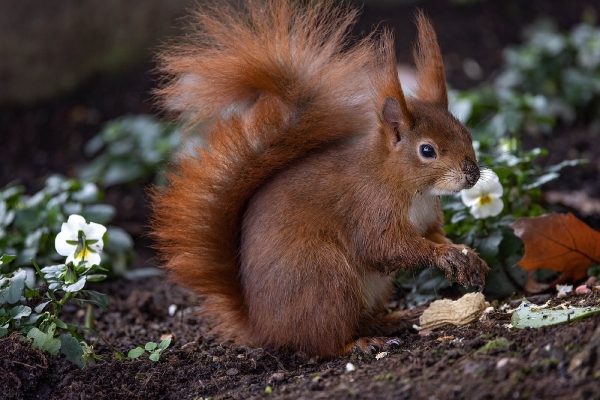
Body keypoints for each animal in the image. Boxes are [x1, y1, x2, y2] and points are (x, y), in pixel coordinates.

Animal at [150, 0, 488, 356]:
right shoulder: (370, 209)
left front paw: (465, 254)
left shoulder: (427, 221)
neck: (410, 188)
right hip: (324, 278)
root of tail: (263, 327)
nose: (472, 175)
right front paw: (443, 256)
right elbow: (383, 247)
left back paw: (395, 319)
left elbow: (436, 237)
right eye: (427, 150)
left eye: (465, 132)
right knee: (326, 341)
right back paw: (363, 342)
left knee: (358, 321)